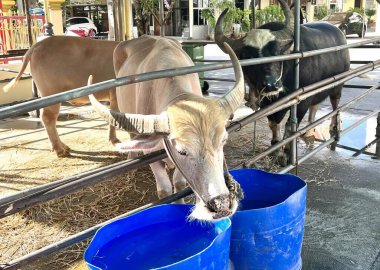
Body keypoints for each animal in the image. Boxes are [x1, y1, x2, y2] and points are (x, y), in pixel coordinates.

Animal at [88, 35, 243, 221]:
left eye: (223, 141)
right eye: (181, 151)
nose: (222, 205)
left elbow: (179, 182)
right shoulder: (151, 154)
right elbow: (165, 189)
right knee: (132, 136)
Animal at [214, 0, 350, 161]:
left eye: (277, 53)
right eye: (249, 57)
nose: (271, 85)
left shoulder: (303, 99)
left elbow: (291, 125)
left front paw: (287, 151)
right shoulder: (266, 102)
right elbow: (274, 123)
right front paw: (275, 145)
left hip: (338, 86)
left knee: (335, 105)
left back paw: (334, 128)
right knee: (315, 107)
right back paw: (309, 131)